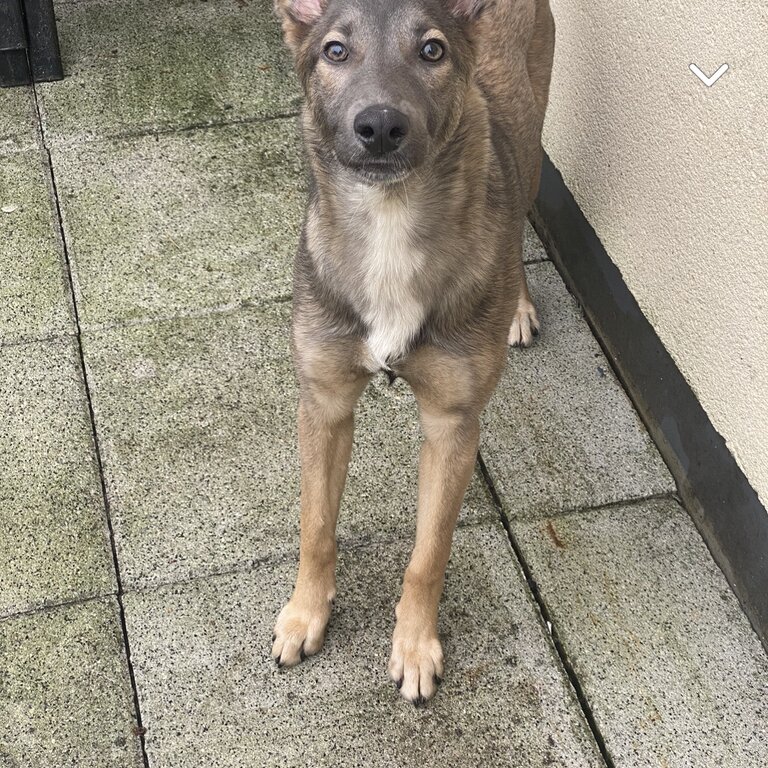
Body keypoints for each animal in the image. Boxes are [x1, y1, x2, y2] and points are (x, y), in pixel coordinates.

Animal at [272, 0, 556, 704]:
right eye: (335, 51)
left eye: (432, 50)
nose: (379, 127)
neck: (389, 221)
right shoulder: (323, 404)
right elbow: (315, 527)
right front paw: (305, 614)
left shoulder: (453, 425)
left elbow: (428, 556)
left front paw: (415, 645)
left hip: (533, 145)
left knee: (519, 224)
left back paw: (518, 306)